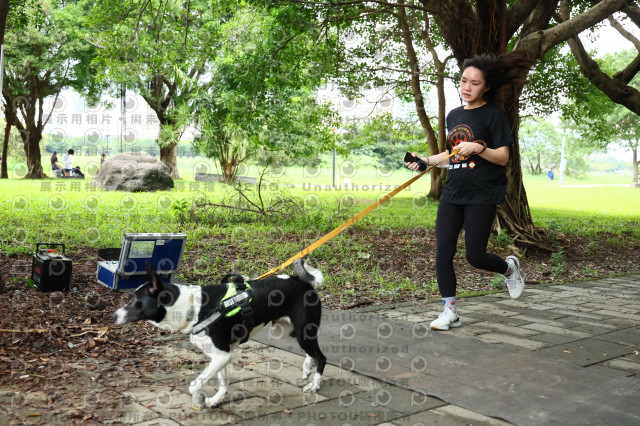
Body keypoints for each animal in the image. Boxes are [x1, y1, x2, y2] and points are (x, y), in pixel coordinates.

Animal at [111, 258, 324, 408]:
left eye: (134, 301)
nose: (113, 315)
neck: (192, 308)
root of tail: (303, 282)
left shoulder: (221, 355)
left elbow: (194, 385)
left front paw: (199, 400)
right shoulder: (222, 355)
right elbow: (222, 381)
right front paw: (216, 400)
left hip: (303, 333)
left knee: (321, 357)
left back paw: (314, 385)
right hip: (289, 333)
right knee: (311, 353)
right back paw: (307, 368)